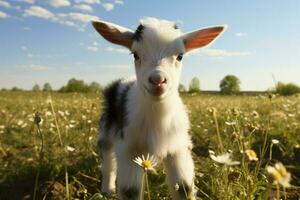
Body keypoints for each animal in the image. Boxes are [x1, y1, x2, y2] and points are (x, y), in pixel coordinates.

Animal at [92, 17, 225, 200]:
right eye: (135, 54)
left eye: (180, 56)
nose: (157, 80)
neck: (158, 117)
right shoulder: (129, 148)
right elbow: (130, 191)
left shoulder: (178, 148)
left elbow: (183, 188)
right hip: (107, 127)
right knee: (107, 160)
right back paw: (108, 189)